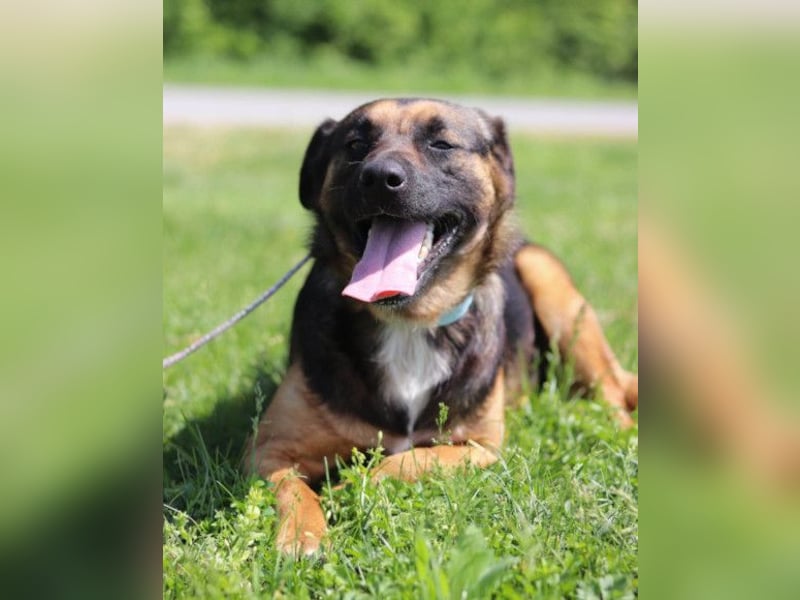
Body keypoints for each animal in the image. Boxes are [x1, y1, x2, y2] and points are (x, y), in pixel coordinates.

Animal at [247, 98, 638, 555]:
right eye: (355, 143)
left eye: (441, 143)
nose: (379, 178)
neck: (408, 321)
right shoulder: (269, 450)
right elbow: (294, 488)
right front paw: (303, 533)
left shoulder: (481, 447)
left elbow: (410, 459)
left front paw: (350, 487)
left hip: (550, 283)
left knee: (611, 393)